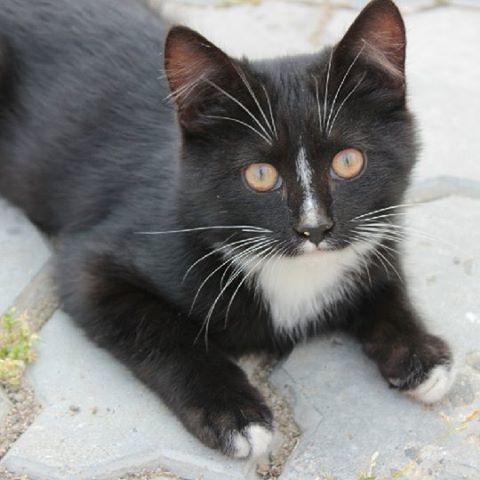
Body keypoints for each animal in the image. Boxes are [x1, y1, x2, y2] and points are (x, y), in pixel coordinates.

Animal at [0, 0, 456, 460]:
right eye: (260, 175)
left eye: (348, 161)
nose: (314, 229)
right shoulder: (92, 263)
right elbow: (166, 330)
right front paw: (233, 412)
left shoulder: (379, 223)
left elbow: (384, 283)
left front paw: (419, 353)